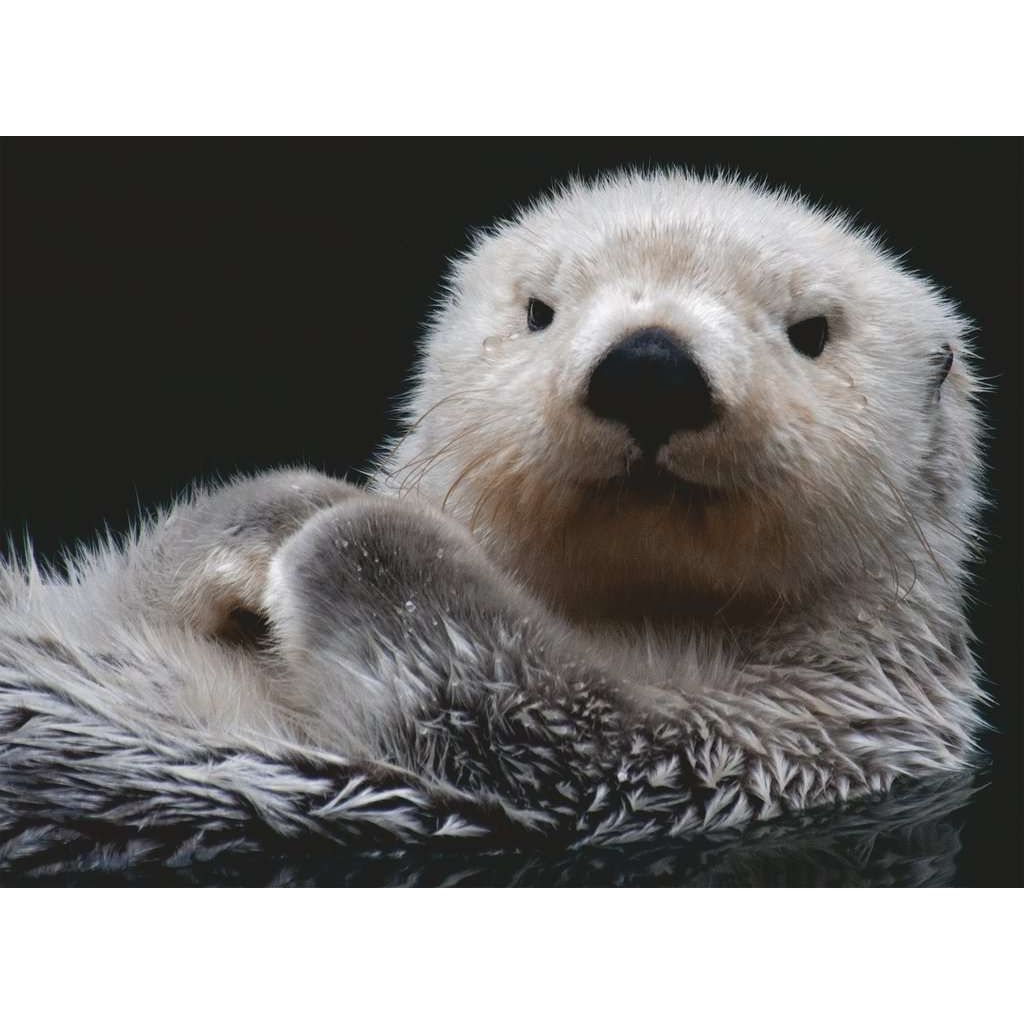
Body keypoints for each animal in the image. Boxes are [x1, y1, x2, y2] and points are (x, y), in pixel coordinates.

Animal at [0, 171, 985, 857]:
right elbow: (133, 583)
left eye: (812, 331)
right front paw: (280, 514)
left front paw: (348, 531)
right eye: (540, 310)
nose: (651, 367)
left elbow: (522, 705)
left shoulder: (769, 745)